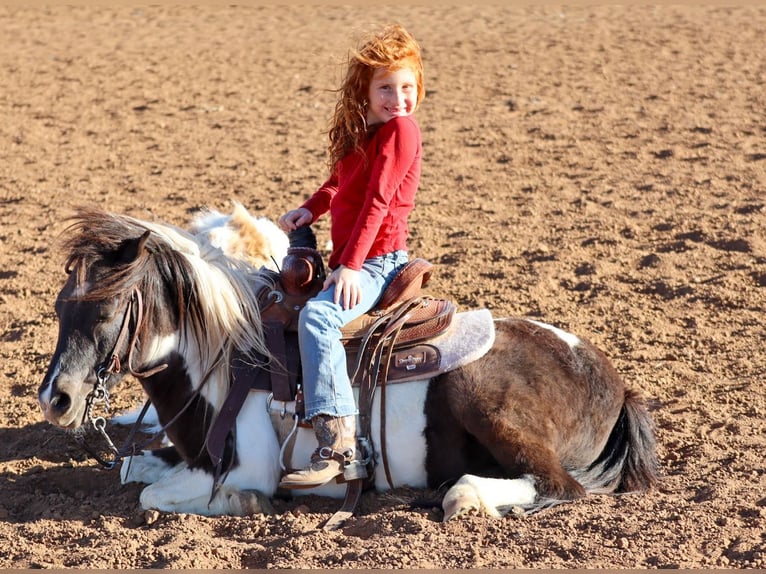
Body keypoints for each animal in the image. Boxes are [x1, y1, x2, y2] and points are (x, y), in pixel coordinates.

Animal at [38, 206, 658, 522]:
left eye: (105, 310)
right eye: (59, 307)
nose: (55, 399)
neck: (222, 361)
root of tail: (612, 380)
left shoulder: (248, 464)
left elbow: (156, 494)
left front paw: (246, 501)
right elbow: (132, 469)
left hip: (487, 403)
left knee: (557, 486)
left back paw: (464, 495)